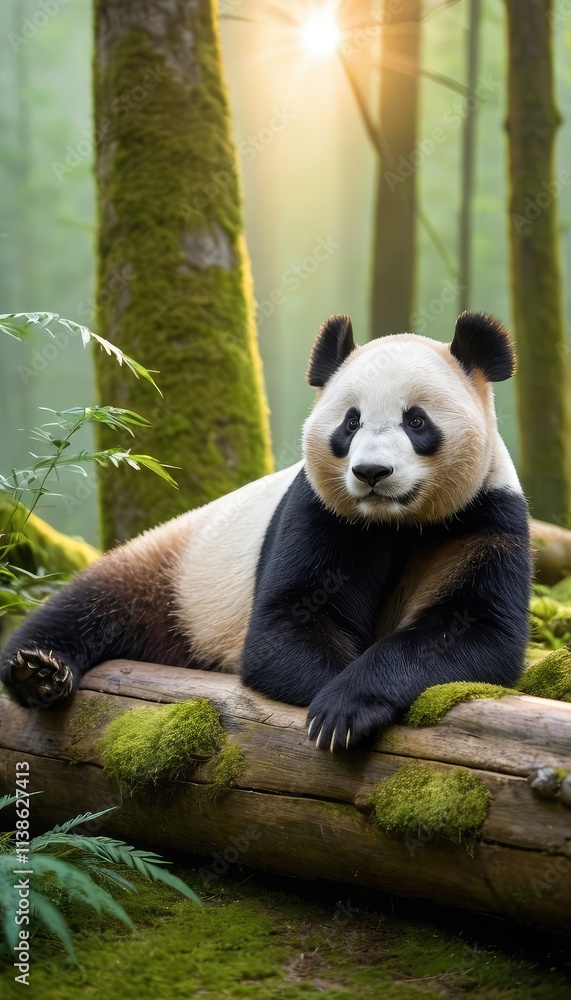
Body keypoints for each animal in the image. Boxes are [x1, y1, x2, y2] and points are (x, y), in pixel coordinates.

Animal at [1, 311, 531, 751]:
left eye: (416, 421)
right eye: (350, 423)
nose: (372, 473)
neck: (394, 522)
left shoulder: (483, 516)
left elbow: (475, 627)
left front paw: (346, 705)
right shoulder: (319, 511)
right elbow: (285, 626)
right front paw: (334, 706)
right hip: (177, 573)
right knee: (91, 602)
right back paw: (38, 671)